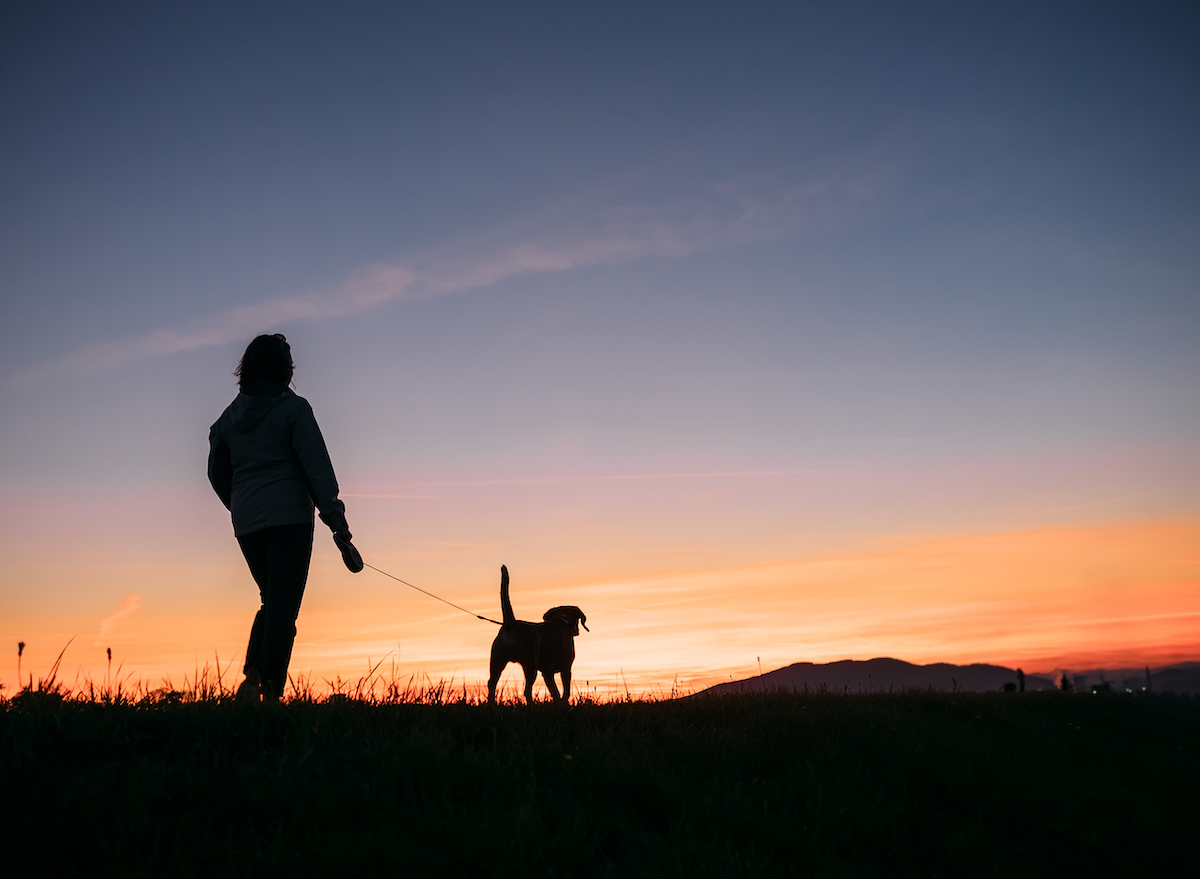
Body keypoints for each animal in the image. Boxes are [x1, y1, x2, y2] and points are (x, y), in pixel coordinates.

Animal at [482, 566, 585, 706]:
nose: (577, 631)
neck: (561, 621)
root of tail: (511, 623)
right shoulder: (565, 668)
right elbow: (565, 691)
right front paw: (564, 704)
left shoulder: (547, 673)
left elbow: (555, 692)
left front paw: (558, 703)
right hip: (530, 663)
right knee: (527, 690)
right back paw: (531, 705)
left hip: (497, 661)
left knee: (492, 683)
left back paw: (491, 705)